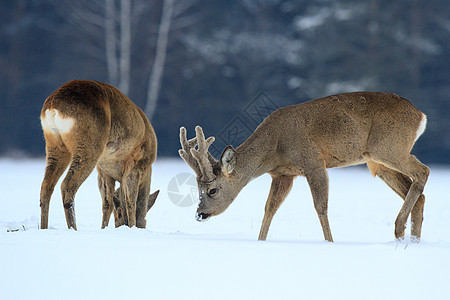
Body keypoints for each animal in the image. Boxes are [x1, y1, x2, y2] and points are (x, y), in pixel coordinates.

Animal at [39, 79, 158, 230]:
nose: (121, 225)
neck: (148, 169)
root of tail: (53, 107)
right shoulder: (136, 163)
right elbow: (131, 201)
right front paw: (132, 227)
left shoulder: (103, 170)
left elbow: (107, 203)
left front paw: (104, 228)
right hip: (89, 144)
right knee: (67, 185)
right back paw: (73, 228)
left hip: (55, 146)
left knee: (46, 187)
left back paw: (43, 227)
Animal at [179, 91, 428, 241]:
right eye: (197, 189)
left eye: (212, 190)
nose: (200, 214)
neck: (274, 149)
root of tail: (421, 115)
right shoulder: (282, 175)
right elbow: (269, 209)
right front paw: (260, 241)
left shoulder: (314, 162)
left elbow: (320, 207)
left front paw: (330, 242)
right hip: (377, 163)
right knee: (419, 193)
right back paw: (410, 239)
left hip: (389, 148)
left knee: (423, 171)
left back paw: (398, 227)